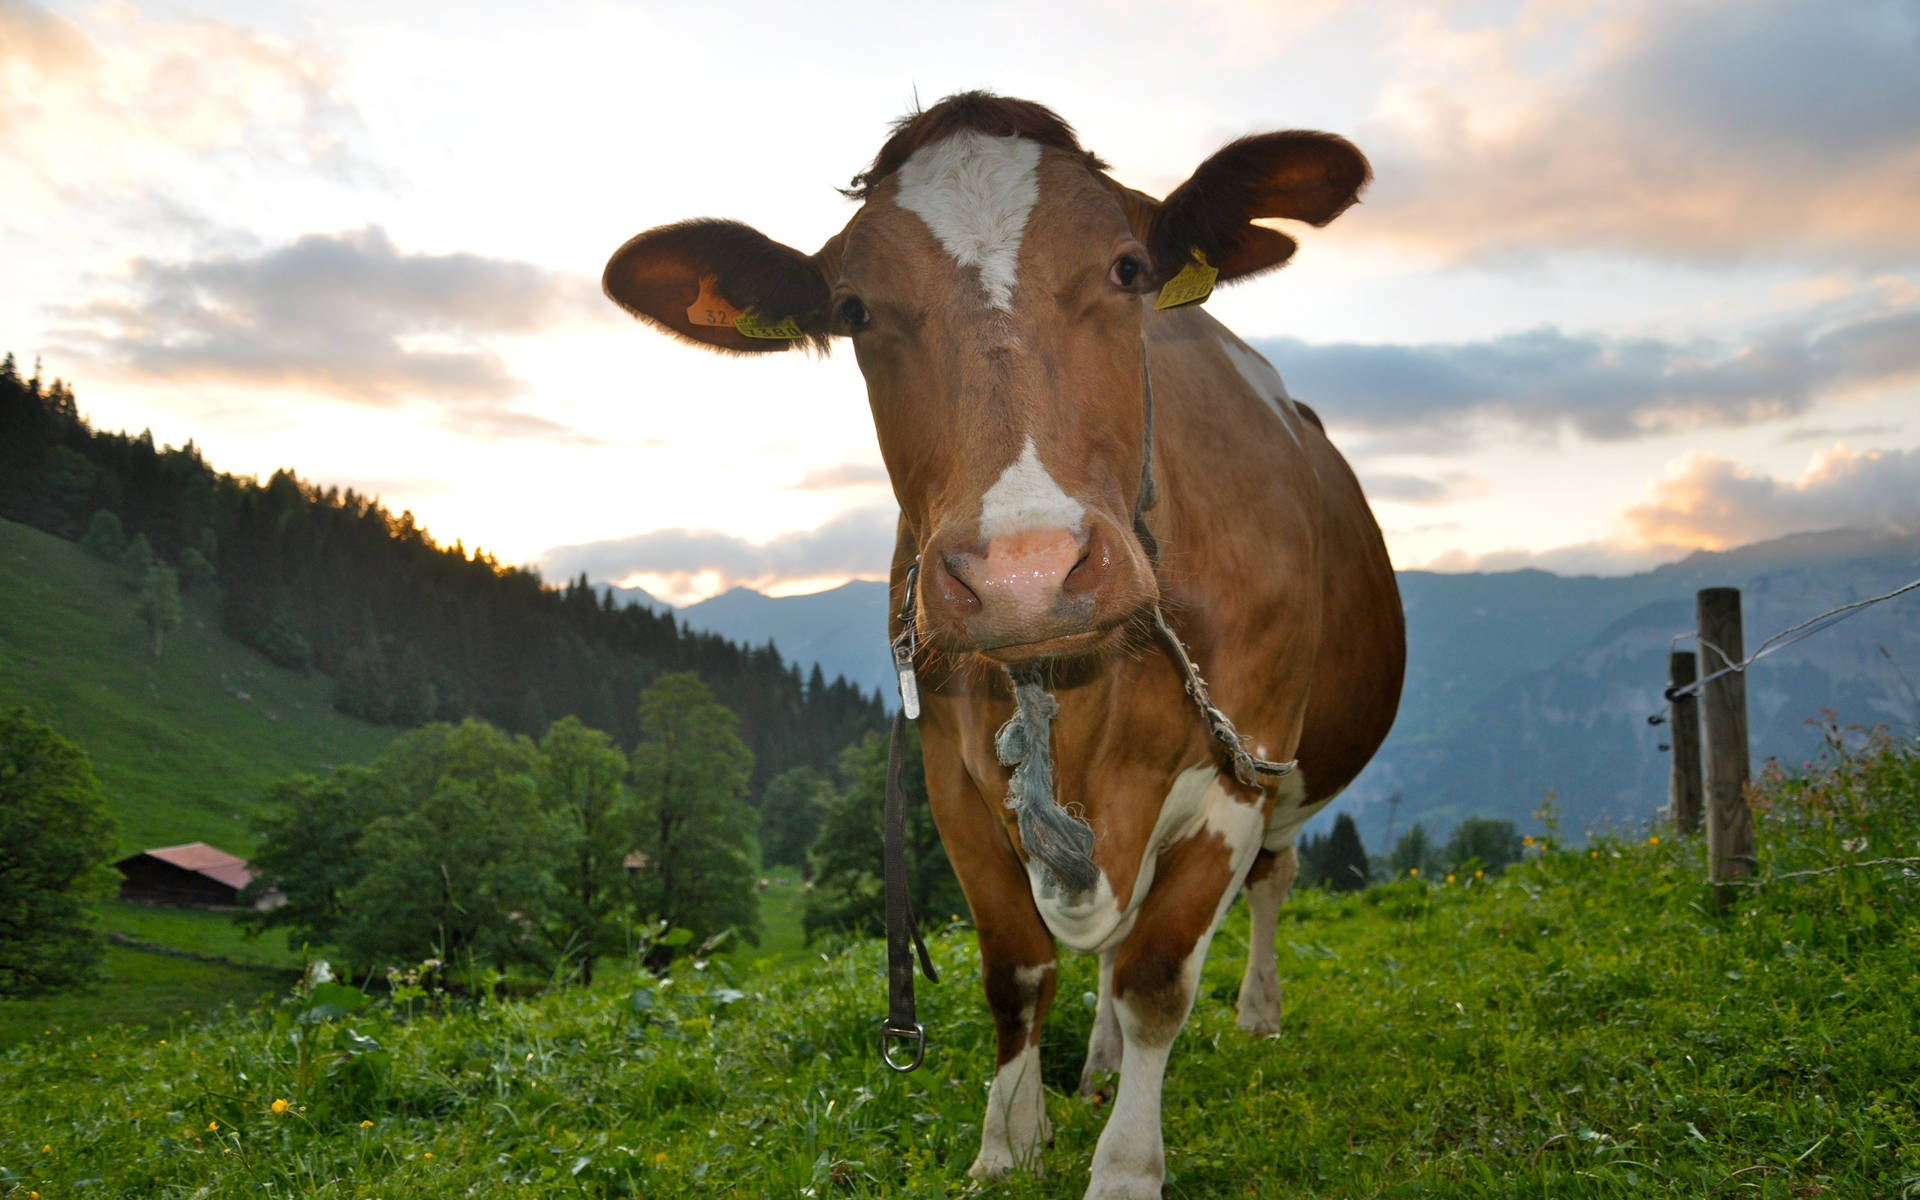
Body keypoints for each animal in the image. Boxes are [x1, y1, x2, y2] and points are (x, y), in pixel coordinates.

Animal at [606, 93, 1405, 1198]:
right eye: (854, 310)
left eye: (1128, 269)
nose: (1026, 572)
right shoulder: (948, 770)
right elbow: (1016, 970)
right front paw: (1007, 1141)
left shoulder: (1239, 756)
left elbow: (1159, 975)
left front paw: (1125, 1168)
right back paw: (1098, 1067)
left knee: (1267, 886)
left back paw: (1255, 1015)